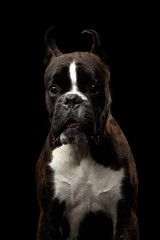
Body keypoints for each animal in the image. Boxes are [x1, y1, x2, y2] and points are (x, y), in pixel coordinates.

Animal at [36, 28, 139, 240]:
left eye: (93, 87)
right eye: (53, 89)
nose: (72, 99)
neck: (82, 150)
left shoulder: (126, 215)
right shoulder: (49, 217)